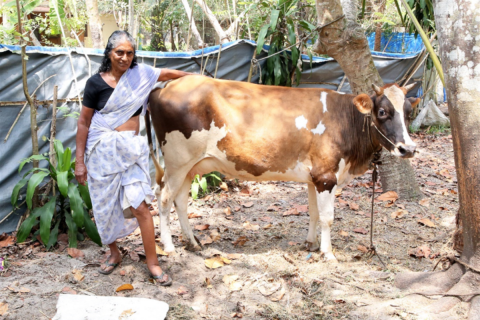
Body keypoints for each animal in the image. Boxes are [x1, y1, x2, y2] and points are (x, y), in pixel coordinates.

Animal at [148, 76, 418, 262]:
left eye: (409, 112)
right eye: (382, 111)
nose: (408, 149)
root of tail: (166, 85)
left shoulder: (314, 177)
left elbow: (314, 213)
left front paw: (311, 244)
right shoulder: (326, 176)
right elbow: (328, 217)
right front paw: (328, 253)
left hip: (190, 167)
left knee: (180, 201)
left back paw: (193, 242)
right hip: (177, 161)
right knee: (163, 198)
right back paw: (169, 246)